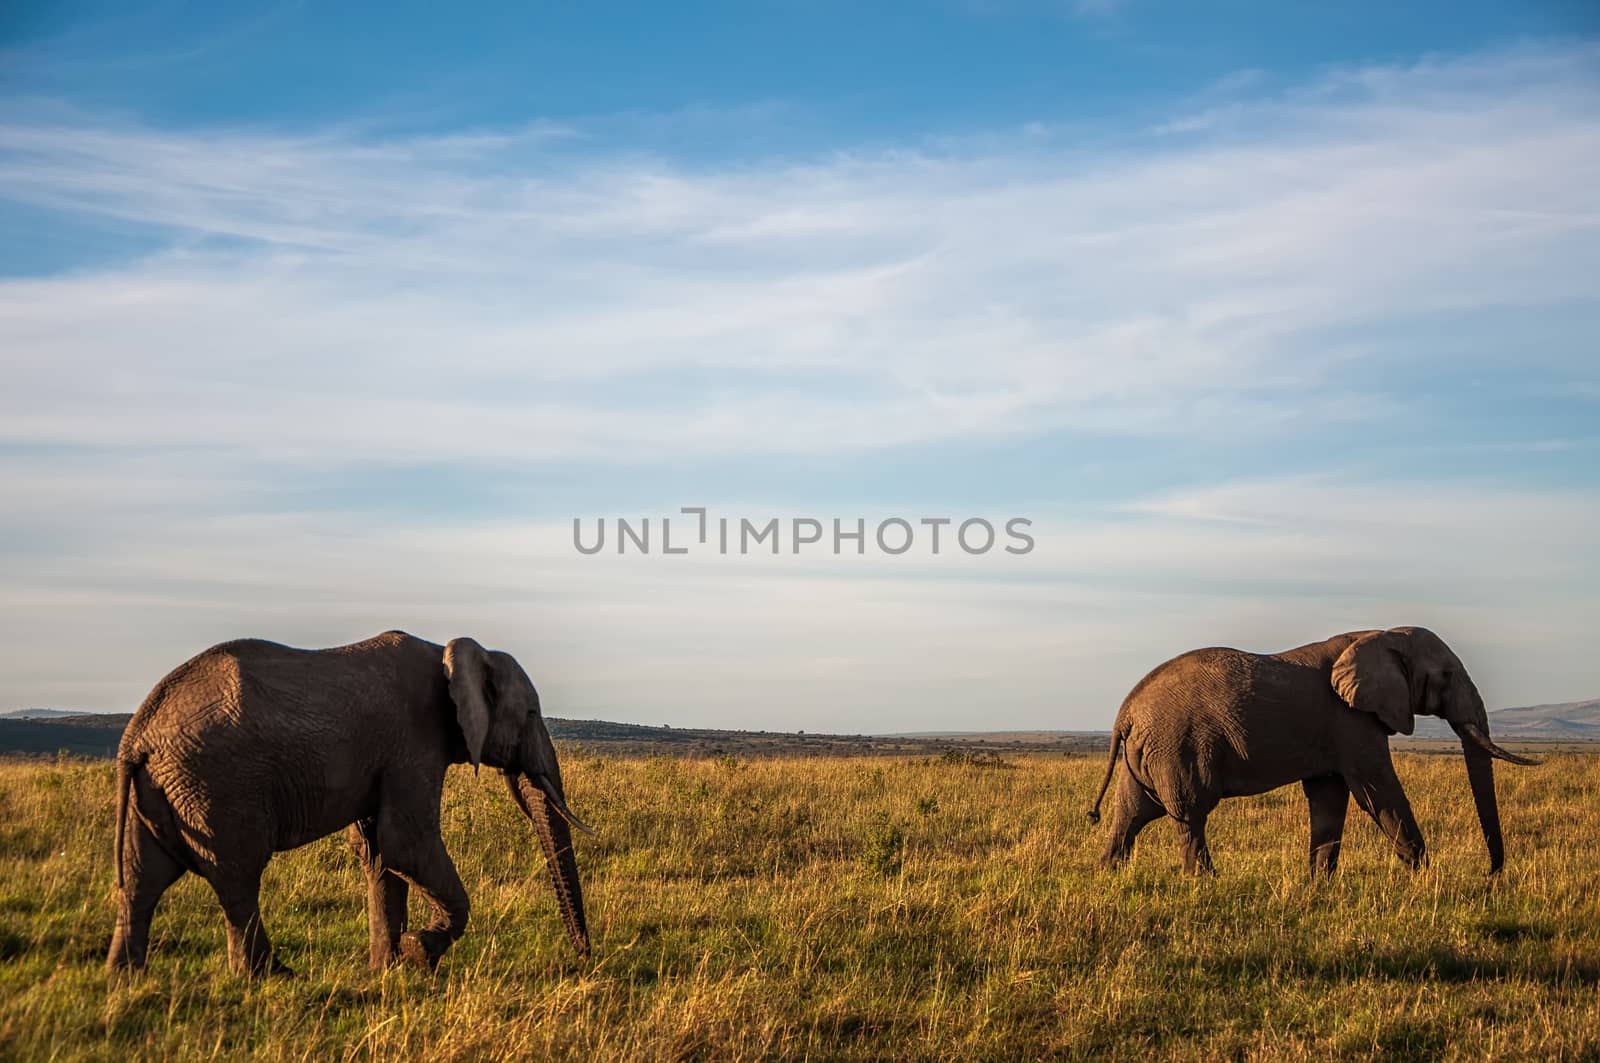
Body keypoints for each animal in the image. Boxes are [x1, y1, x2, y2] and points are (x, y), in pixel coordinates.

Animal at [1088, 627, 1536, 877]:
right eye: (1446, 675)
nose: (1491, 877)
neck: (1381, 633)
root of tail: (1126, 711)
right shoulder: (1351, 720)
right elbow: (1376, 791)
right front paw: (1424, 878)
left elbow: (1329, 798)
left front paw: (1319, 885)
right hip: (1177, 746)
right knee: (1189, 813)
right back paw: (1204, 882)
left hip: (1148, 752)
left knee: (1132, 813)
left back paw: (1107, 875)